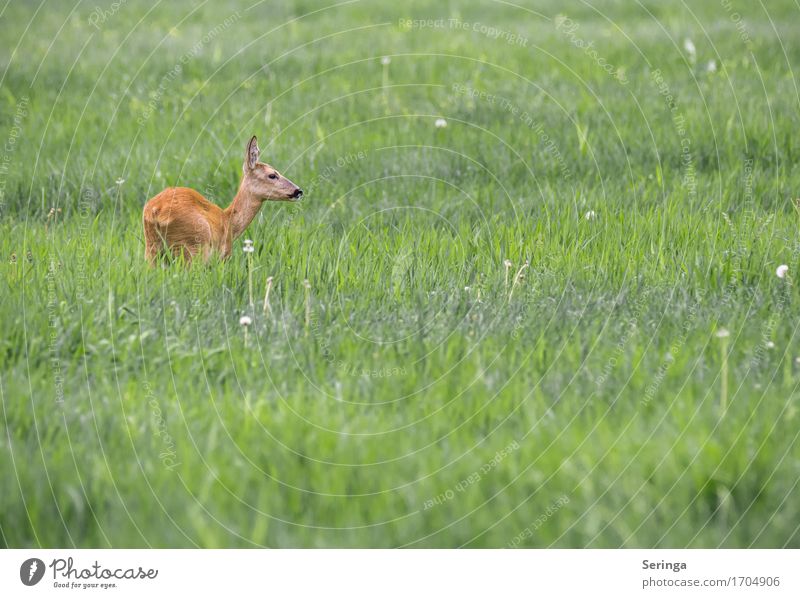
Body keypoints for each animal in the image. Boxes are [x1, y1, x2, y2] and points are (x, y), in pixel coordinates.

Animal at [142, 138, 302, 268]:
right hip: (192, 248)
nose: (298, 191)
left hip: (152, 251)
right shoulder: (223, 256)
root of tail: (156, 211)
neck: (229, 220)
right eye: (272, 175)